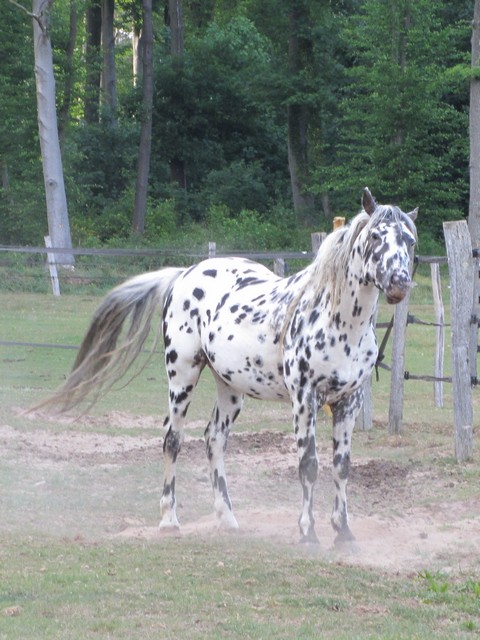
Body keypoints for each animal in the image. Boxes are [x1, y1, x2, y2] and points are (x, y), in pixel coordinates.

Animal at [37, 188, 417, 544]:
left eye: (410, 241)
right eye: (375, 236)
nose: (399, 284)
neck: (336, 320)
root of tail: (184, 274)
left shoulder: (349, 401)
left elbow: (342, 467)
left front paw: (344, 534)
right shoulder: (304, 399)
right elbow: (308, 466)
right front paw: (309, 534)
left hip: (231, 388)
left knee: (214, 439)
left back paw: (228, 518)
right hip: (182, 376)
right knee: (173, 439)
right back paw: (169, 521)